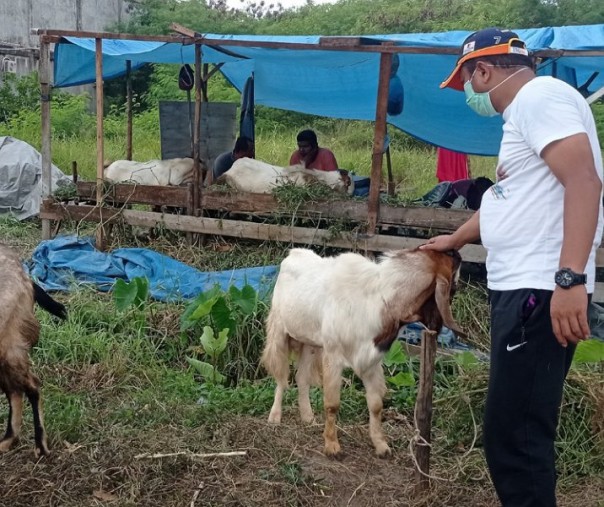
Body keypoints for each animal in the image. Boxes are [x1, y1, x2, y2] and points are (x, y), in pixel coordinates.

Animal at [262, 248, 464, 458]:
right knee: (281, 376)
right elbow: (332, 404)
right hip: (279, 331)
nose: (457, 254)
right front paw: (332, 445)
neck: (379, 299)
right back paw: (274, 416)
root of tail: (294, 253)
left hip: (311, 342)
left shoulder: (371, 361)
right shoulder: (333, 355)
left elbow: (376, 404)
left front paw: (381, 445)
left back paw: (308, 417)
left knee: (301, 377)